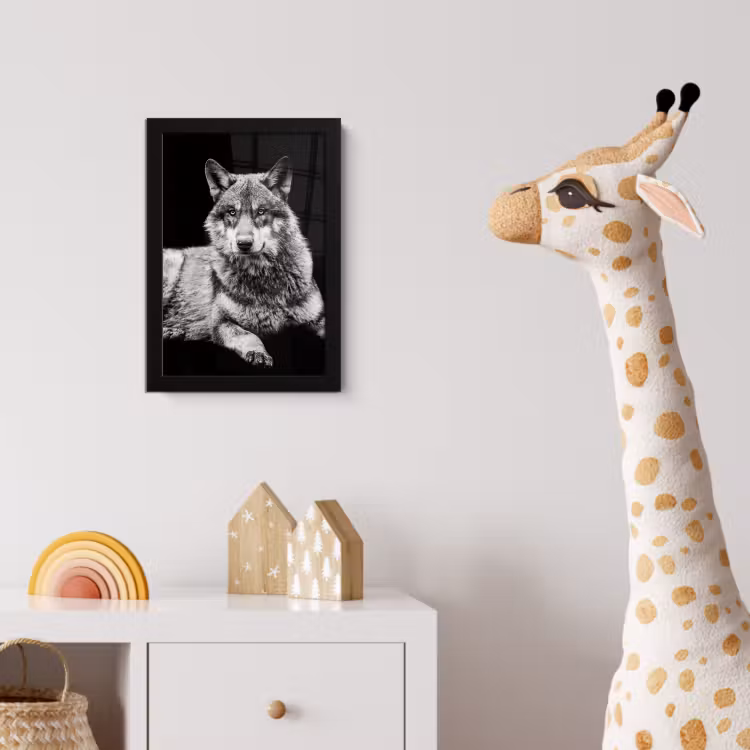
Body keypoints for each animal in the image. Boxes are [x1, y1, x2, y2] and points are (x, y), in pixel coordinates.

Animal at [162, 156, 325, 368]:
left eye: (261, 211)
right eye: (232, 212)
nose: (244, 244)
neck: (263, 276)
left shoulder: (318, 318)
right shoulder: (221, 322)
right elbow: (250, 336)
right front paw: (258, 353)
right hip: (173, 265)